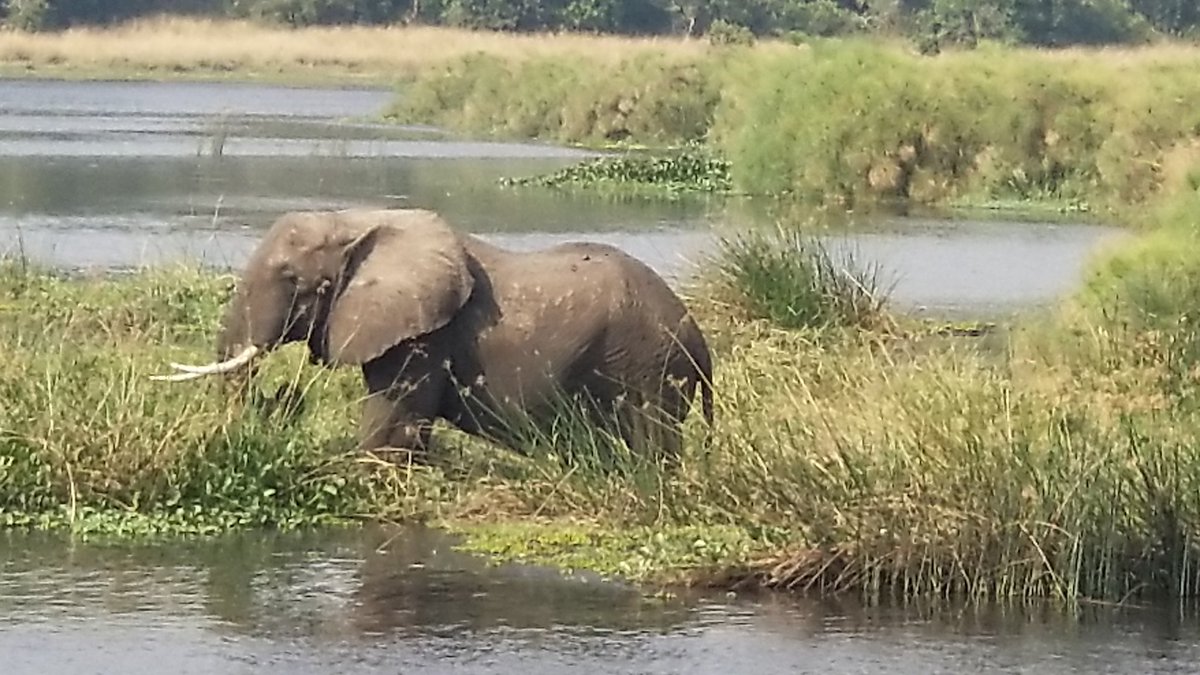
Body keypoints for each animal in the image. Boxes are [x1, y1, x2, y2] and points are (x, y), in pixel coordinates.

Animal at [152, 208, 714, 465]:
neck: (357, 220)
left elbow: (392, 419)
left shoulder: (424, 334)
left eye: (293, 280)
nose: (283, 396)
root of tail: (702, 342)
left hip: (648, 367)